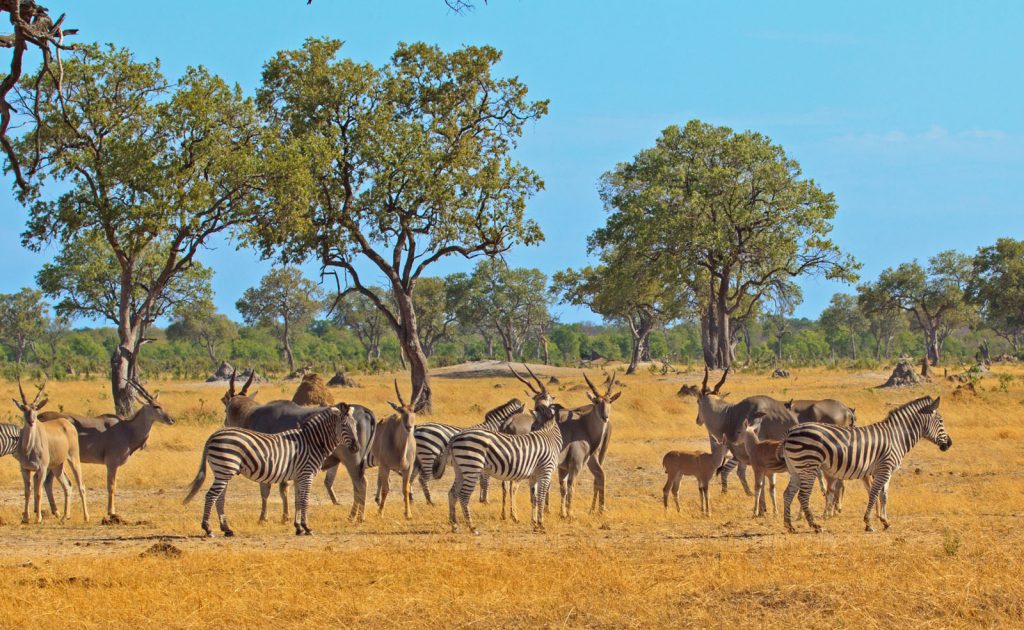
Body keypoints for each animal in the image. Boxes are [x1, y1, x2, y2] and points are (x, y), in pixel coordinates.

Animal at [10, 381, 88, 524]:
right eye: (24, 408)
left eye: (36, 408)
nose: (31, 421)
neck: (29, 448)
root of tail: (67, 424)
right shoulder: (25, 469)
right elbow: (27, 491)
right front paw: (25, 518)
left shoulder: (41, 469)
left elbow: (38, 492)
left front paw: (38, 518)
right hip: (57, 466)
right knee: (67, 485)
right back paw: (65, 516)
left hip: (74, 459)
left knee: (81, 485)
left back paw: (86, 517)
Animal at [185, 403, 360, 536]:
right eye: (344, 426)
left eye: (356, 426)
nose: (356, 448)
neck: (313, 442)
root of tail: (213, 435)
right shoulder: (307, 474)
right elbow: (304, 500)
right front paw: (307, 527)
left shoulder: (298, 476)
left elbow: (297, 500)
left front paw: (298, 527)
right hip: (224, 469)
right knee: (210, 496)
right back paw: (208, 529)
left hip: (222, 471)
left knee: (219, 498)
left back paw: (227, 529)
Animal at [368, 381, 419, 520]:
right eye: (402, 410)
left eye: (413, 411)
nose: (409, 426)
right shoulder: (386, 466)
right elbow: (386, 489)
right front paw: (380, 512)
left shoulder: (408, 469)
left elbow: (405, 489)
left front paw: (408, 514)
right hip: (382, 465)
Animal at [430, 415, 565, 536]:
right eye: (532, 426)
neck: (551, 437)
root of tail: (455, 436)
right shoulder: (545, 472)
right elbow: (541, 498)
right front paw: (541, 525)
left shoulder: (534, 477)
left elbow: (534, 499)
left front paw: (535, 524)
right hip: (472, 466)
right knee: (463, 496)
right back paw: (472, 527)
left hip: (460, 469)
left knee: (452, 494)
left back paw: (454, 526)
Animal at [782, 397, 950, 536]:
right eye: (941, 421)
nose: (949, 444)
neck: (897, 437)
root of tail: (790, 432)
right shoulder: (885, 469)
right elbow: (874, 494)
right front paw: (869, 523)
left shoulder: (885, 471)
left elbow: (884, 495)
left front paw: (885, 521)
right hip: (808, 466)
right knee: (802, 496)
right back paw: (816, 526)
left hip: (796, 469)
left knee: (788, 494)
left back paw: (789, 526)